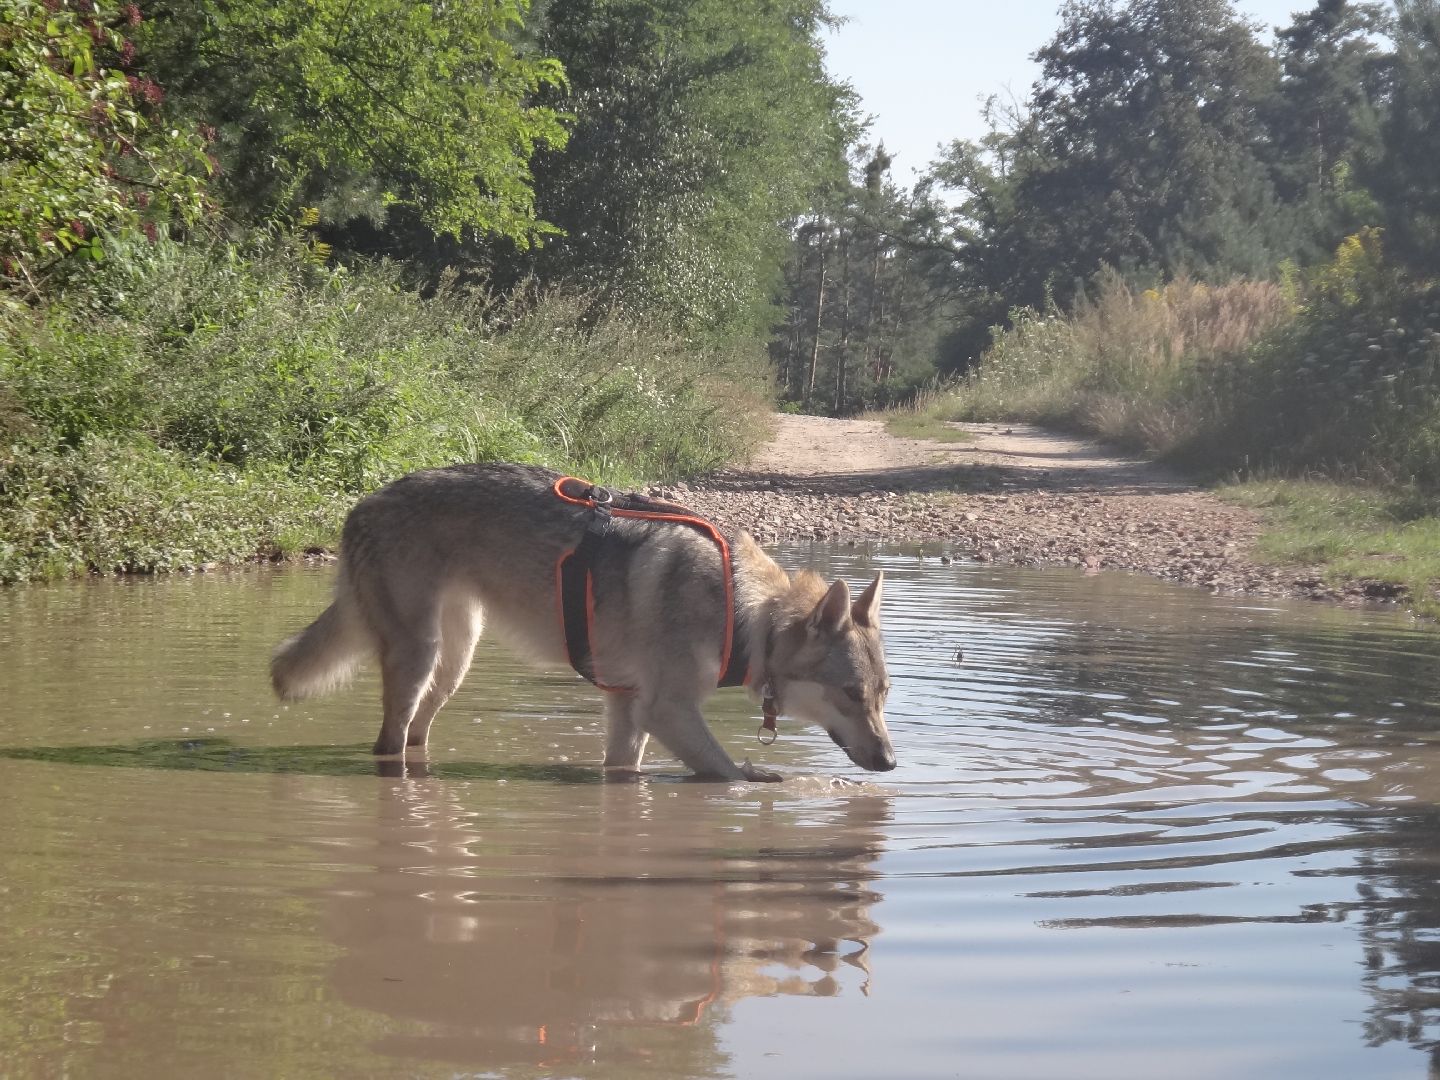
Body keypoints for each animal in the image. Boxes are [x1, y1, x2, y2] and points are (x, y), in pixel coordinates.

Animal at [270, 460, 892, 783]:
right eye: (850, 694)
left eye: (883, 695)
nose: (890, 762)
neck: (746, 614)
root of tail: (362, 503)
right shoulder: (666, 710)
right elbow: (729, 772)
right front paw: (758, 778)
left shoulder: (628, 707)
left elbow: (623, 771)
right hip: (420, 658)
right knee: (388, 743)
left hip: (453, 663)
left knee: (415, 735)